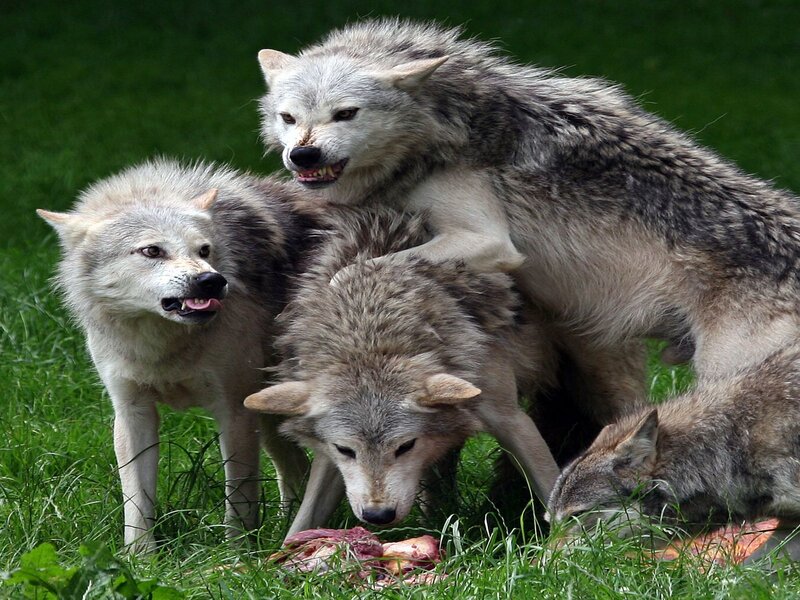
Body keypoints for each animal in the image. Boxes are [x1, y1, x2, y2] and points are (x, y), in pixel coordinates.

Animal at [37, 159, 311, 553]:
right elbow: (136, 503)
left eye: (204, 250)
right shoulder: (132, 412)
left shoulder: (234, 412)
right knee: (297, 470)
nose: (212, 281)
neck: (162, 344)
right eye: (152, 251)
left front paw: (236, 555)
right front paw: (139, 558)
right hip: (271, 419)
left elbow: (239, 497)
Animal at [243, 207, 564, 535]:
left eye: (405, 446)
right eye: (345, 450)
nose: (378, 515)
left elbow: (552, 491)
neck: (371, 329)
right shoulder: (326, 457)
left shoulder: (511, 420)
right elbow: (303, 520)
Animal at [257, 19, 800, 384]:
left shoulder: (487, 241)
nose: (302, 154)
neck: (444, 124)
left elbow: (356, 271)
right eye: (288, 118)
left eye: (346, 114)